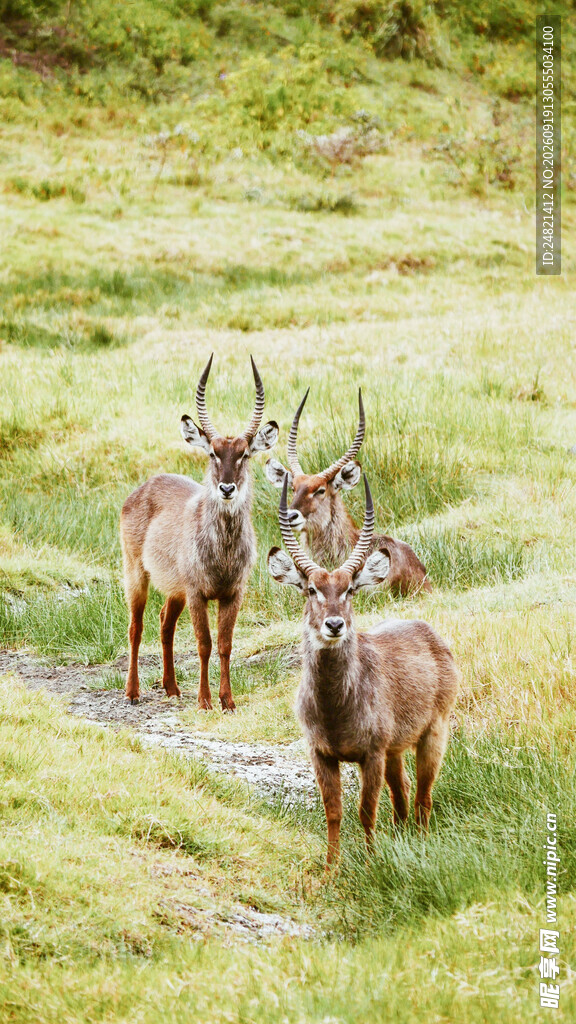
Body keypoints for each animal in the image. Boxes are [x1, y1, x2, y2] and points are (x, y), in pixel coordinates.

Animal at [120, 354, 279, 711]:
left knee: (164, 622)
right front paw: (205, 700)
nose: (227, 488)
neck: (223, 554)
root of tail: (145, 485)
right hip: (136, 571)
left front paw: (228, 701)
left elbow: (225, 644)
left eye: (244, 454)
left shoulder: (233, 592)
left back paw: (172, 688)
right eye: (213, 453)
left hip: (174, 589)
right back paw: (133, 691)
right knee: (137, 626)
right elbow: (204, 643)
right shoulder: (196, 592)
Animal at [268, 473, 459, 869]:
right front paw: (331, 869)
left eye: (350, 589)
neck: (334, 709)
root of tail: (428, 630)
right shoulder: (322, 753)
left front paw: (370, 865)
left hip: (434, 732)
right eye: (311, 589)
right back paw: (403, 840)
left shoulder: (371, 753)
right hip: (396, 750)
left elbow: (366, 810)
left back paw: (420, 843)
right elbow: (334, 811)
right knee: (402, 794)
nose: (334, 625)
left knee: (423, 795)